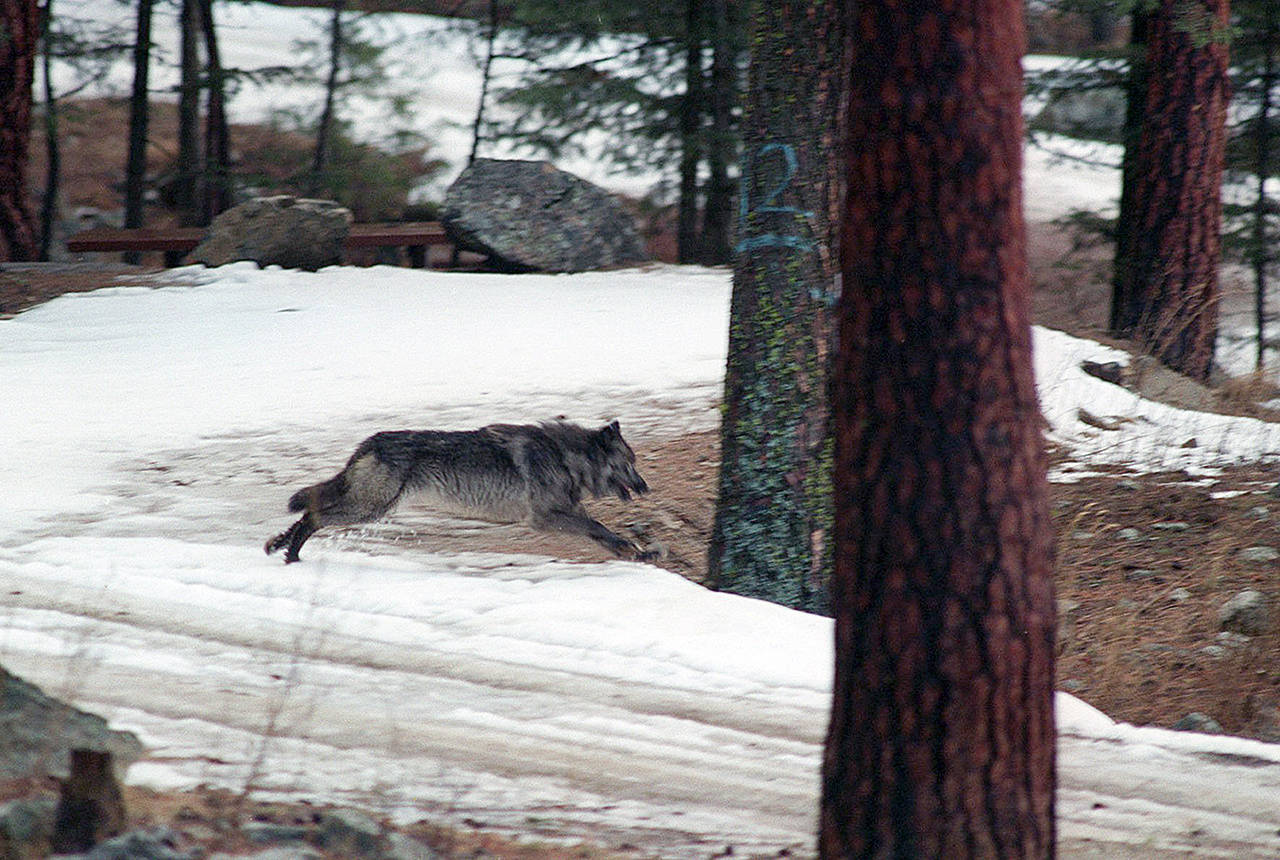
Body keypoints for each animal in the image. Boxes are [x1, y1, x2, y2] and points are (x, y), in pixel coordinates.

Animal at [266, 417, 655, 563]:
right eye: (629, 463)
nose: (646, 487)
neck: (565, 457)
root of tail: (369, 442)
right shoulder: (545, 518)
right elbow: (599, 527)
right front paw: (634, 549)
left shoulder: (567, 512)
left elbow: (602, 533)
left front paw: (637, 552)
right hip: (369, 509)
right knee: (314, 515)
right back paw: (292, 554)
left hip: (369, 505)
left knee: (309, 508)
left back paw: (279, 545)